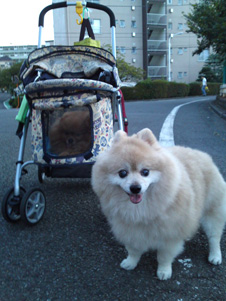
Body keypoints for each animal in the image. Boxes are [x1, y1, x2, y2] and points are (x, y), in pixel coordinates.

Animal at [91, 128, 226, 278]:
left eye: (145, 172)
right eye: (122, 173)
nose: (135, 187)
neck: (141, 209)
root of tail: (202, 154)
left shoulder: (170, 234)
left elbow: (164, 256)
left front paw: (164, 271)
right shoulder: (130, 229)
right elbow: (133, 250)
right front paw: (130, 262)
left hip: (213, 210)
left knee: (214, 236)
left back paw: (215, 256)